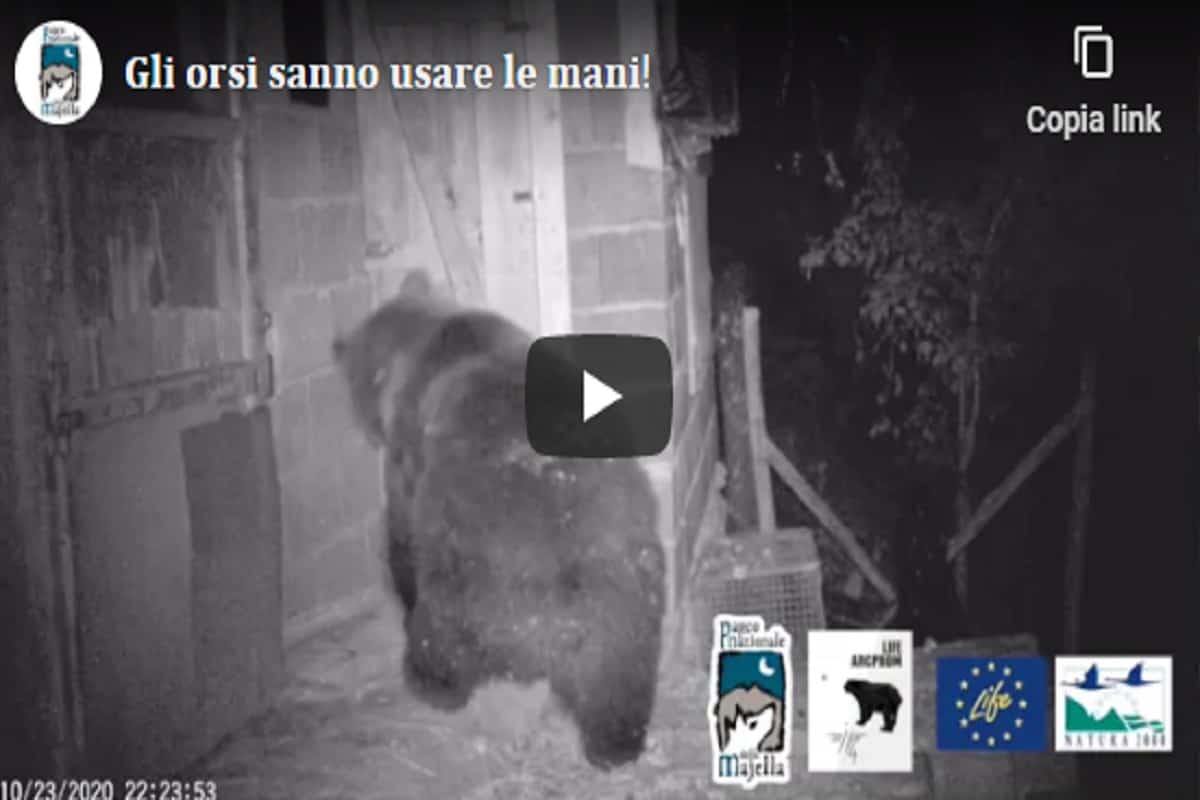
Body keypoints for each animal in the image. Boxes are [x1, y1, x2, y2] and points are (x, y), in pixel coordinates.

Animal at [332, 270, 667, 770]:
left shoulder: (409, 455)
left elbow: (400, 533)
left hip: (471, 561)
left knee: (445, 619)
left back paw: (431, 679)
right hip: (627, 579)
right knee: (621, 668)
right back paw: (614, 741)